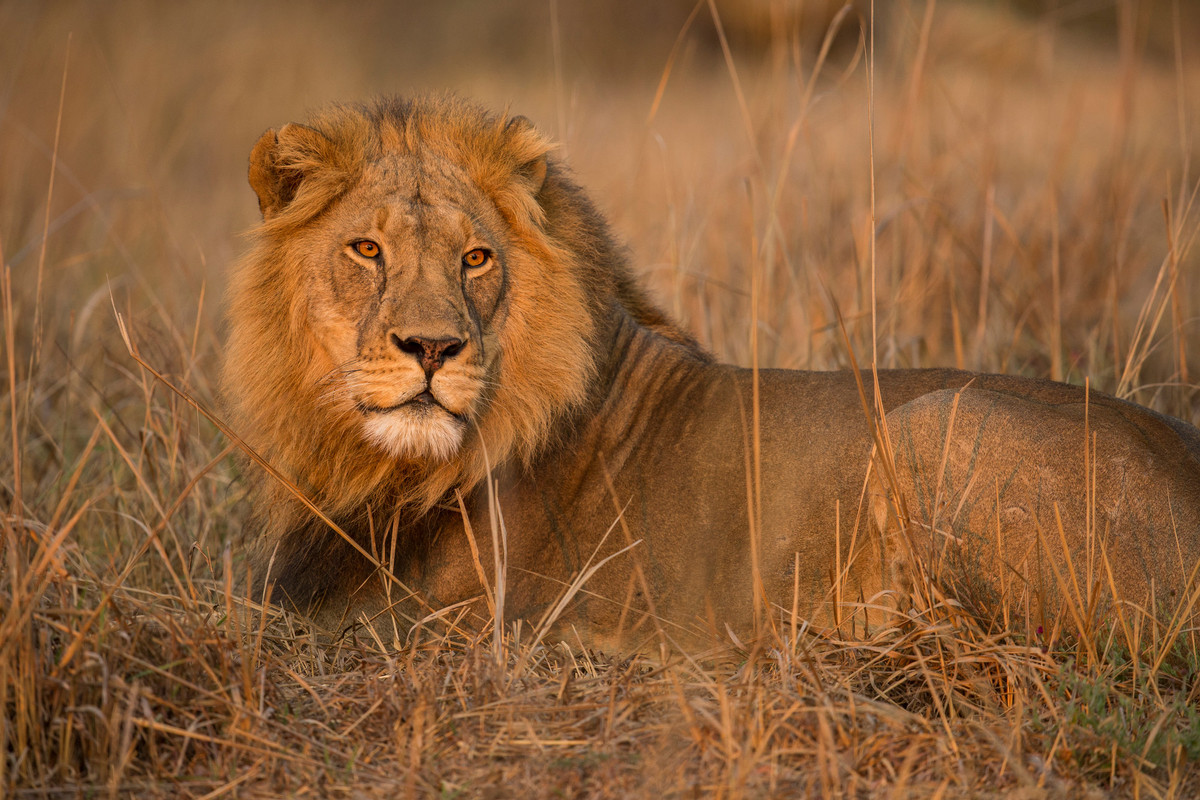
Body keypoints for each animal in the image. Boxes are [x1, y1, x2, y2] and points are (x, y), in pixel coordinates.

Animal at [224, 95, 1200, 651]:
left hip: (935, 423)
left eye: (475, 258)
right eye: (366, 250)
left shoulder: (439, 619)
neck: (377, 463)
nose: (432, 350)